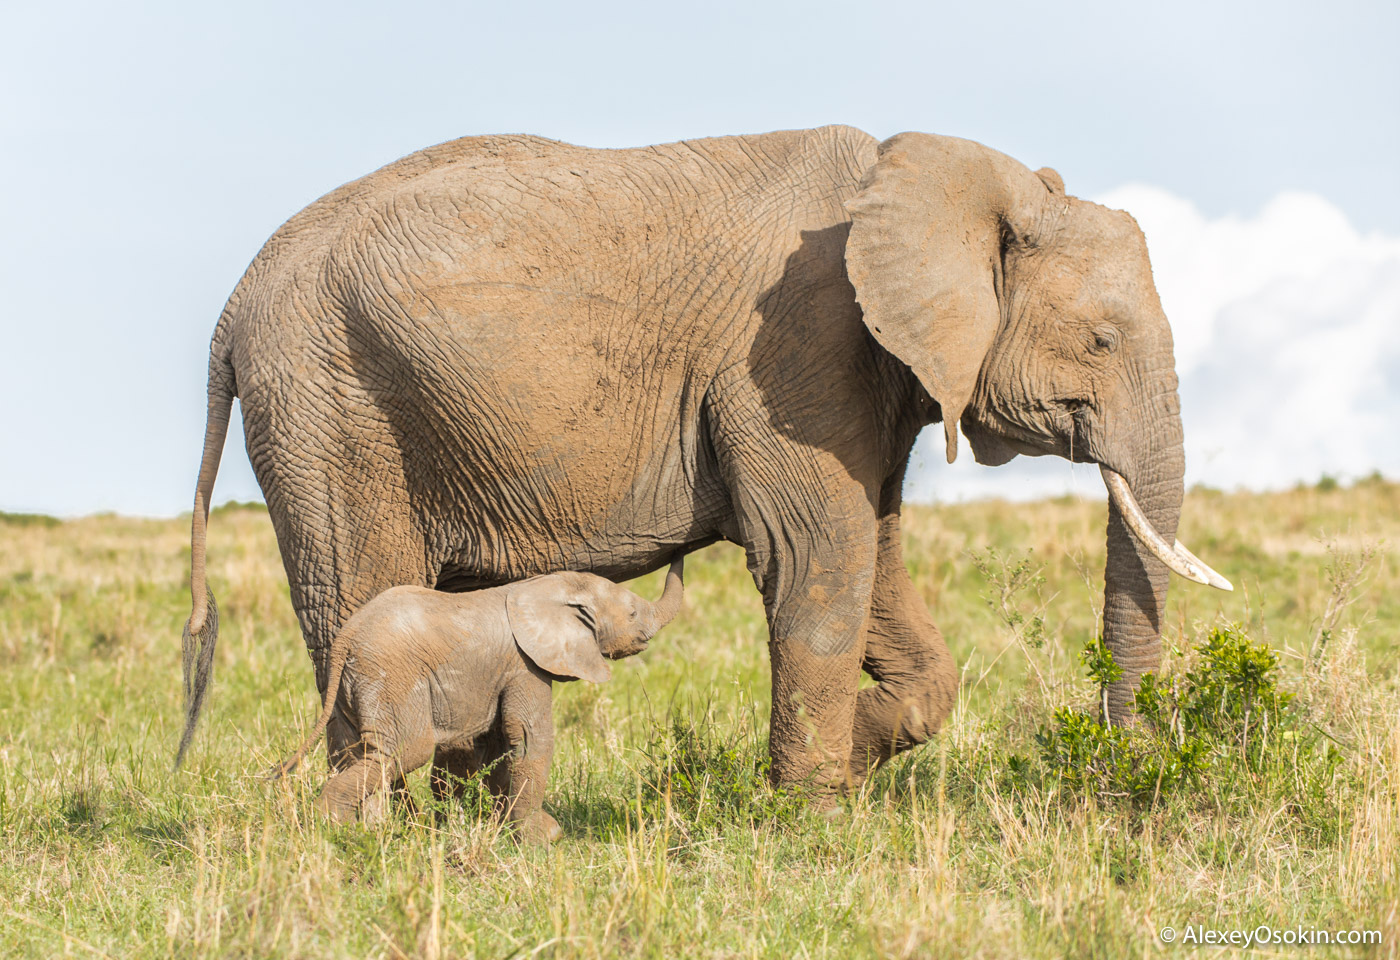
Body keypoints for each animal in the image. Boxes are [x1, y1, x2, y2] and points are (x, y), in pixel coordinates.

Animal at [172, 125, 1226, 789]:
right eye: (1100, 341)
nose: (1121, 767)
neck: (944, 178)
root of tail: (230, 310)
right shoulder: (795, 347)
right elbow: (817, 559)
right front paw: (813, 817)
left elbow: (873, 559)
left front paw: (846, 759)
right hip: (330, 413)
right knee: (359, 599)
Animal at [274, 556, 683, 839]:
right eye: (633, 614)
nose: (681, 550)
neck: (544, 587)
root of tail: (345, 638)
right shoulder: (524, 664)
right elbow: (530, 737)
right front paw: (543, 837)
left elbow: (500, 741)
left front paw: (501, 827)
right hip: (391, 676)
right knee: (404, 751)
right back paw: (333, 829)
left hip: (352, 687)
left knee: (356, 751)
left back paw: (368, 833)